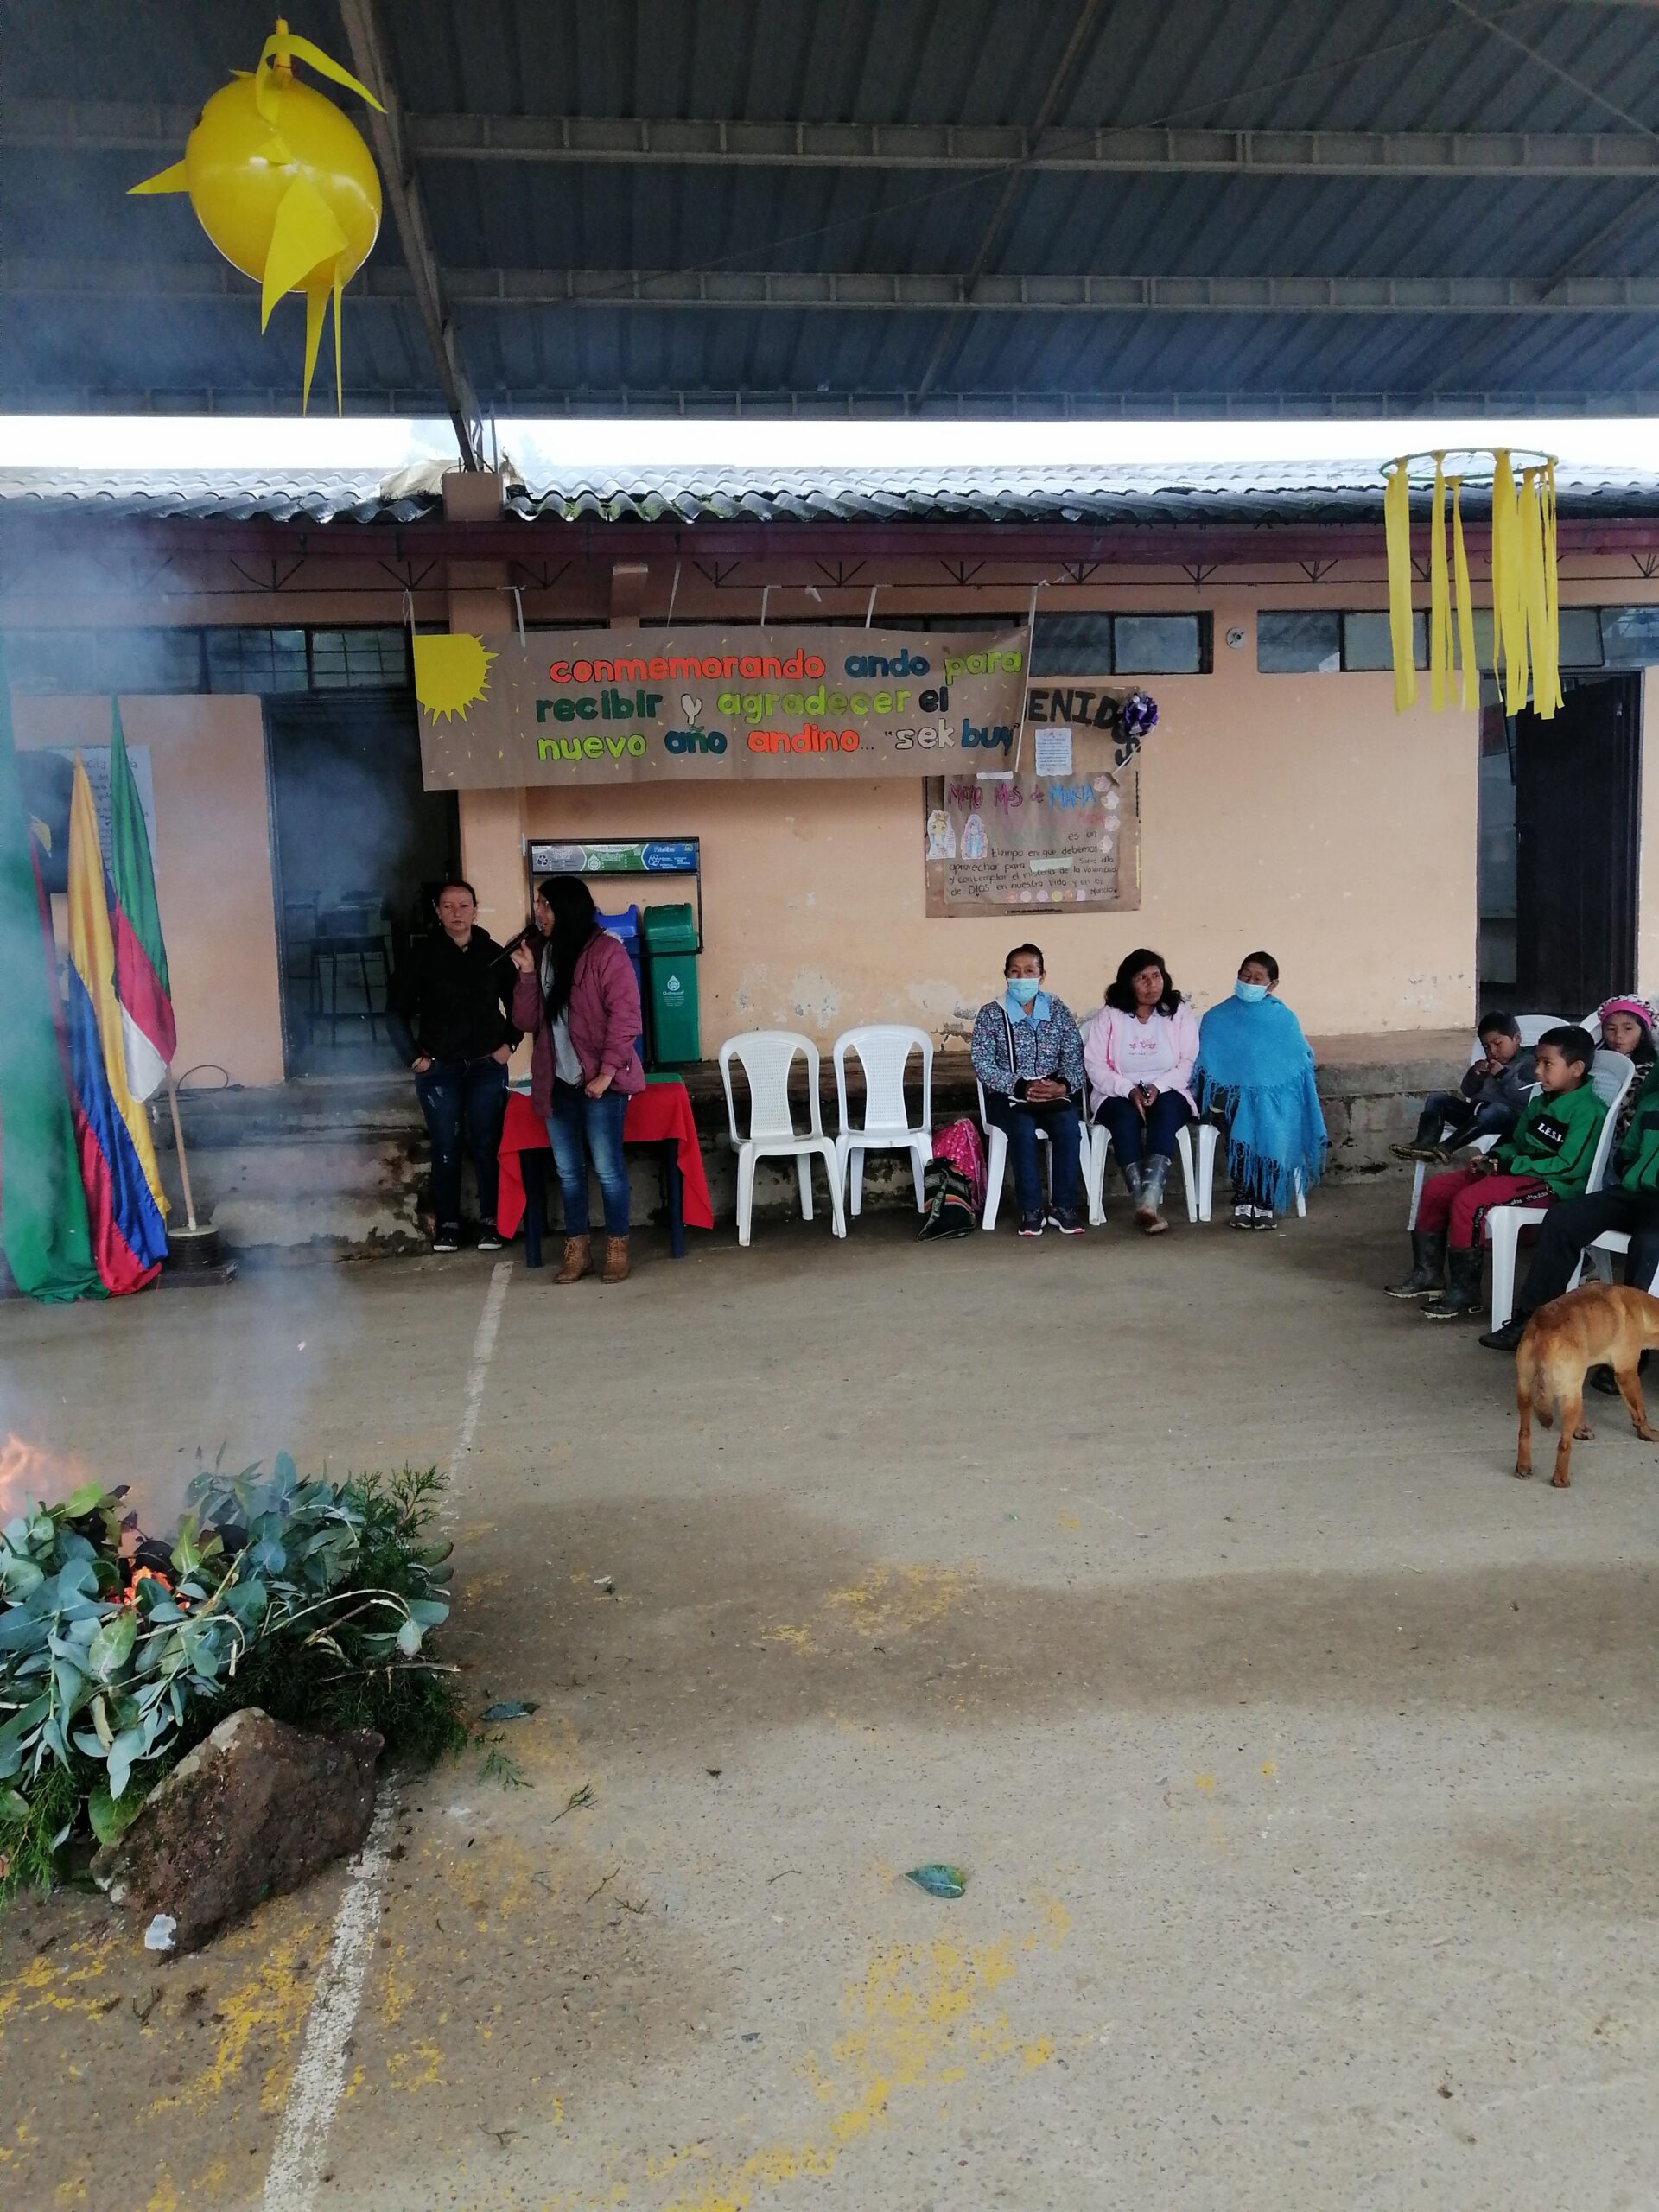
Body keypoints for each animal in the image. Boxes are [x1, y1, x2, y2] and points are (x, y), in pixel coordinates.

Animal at [1514, 1282, 1659, 1487]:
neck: (1642, 1309)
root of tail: (1546, 1330)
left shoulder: (1578, 1382)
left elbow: (1582, 1411)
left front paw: (1581, 1430)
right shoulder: (1627, 1373)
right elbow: (1639, 1411)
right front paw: (1646, 1433)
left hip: (1526, 1389)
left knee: (1524, 1433)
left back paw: (1523, 1467)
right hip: (1566, 1397)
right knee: (1564, 1444)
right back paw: (1560, 1479)